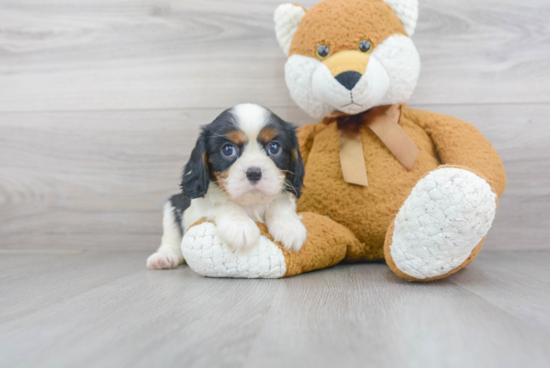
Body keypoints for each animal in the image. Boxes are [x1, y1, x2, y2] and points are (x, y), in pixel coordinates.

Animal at [147, 103, 308, 270]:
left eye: (274, 148)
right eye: (228, 149)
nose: (254, 173)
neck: (251, 202)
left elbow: (280, 203)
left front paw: (289, 226)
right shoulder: (194, 211)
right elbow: (222, 203)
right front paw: (240, 226)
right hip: (172, 205)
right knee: (171, 239)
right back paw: (164, 257)